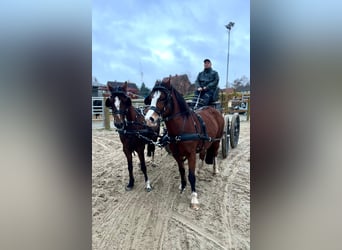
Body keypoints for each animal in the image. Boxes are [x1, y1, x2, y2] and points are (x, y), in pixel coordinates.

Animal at [144, 76, 224, 209]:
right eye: (151, 98)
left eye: (163, 97)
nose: (148, 119)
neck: (182, 127)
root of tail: (213, 109)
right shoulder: (177, 154)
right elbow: (182, 171)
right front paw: (182, 185)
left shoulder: (191, 154)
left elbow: (191, 176)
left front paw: (194, 198)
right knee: (203, 154)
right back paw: (200, 169)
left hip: (217, 140)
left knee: (215, 154)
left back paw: (215, 170)